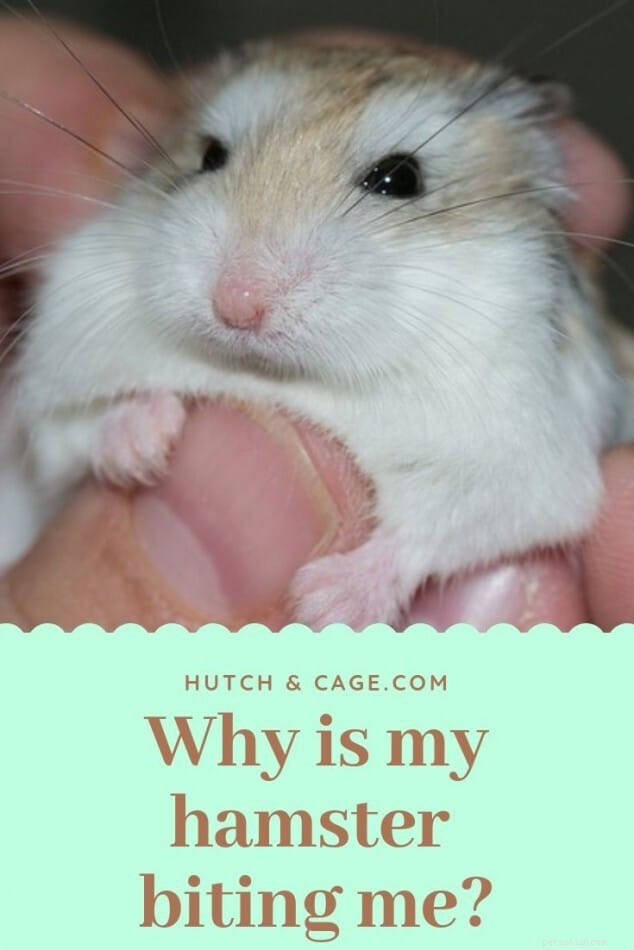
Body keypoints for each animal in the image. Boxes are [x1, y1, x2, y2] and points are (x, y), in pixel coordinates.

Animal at [0, 41, 631, 626]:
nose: (237, 305)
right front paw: (142, 449)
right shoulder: (58, 391)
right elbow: (76, 429)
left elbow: (441, 529)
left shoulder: (524, 463)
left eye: (400, 178)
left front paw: (319, 603)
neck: (286, 378)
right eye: (209, 155)